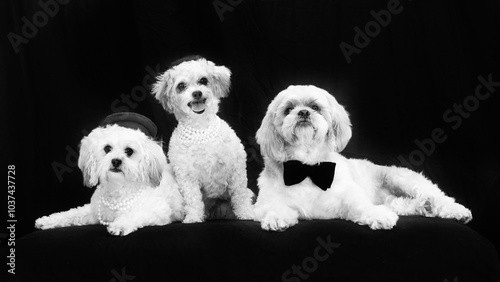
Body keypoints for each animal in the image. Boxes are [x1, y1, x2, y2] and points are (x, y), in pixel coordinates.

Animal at [35, 112, 185, 236]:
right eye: (107, 148)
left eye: (129, 151)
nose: (116, 161)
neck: (117, 189)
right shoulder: (94, 212)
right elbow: (73, 213)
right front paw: (48, 220)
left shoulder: (159, 211)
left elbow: (136, 214)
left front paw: (120, 224)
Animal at [151, 55, 254, 223]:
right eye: (181, 86)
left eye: (203, 80)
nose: (197, 93)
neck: (200, 129)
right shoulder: (186, 176)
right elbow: (193, 200)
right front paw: (193, 217)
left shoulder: (236, 168)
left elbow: (239, 195)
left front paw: (246, 213)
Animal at [254, 85, 472, 231]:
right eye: (288, 109)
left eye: (315, 107)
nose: (303, 112)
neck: (308, 167)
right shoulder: (264, 202)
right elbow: (273, 206)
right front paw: (276, 218)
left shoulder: (347, 195)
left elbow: (360, 205)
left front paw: (377, 215)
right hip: (393, 197)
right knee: (400, 204)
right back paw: (423, 206)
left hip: (402, 178)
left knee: (439, 197)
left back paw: (455, 210)